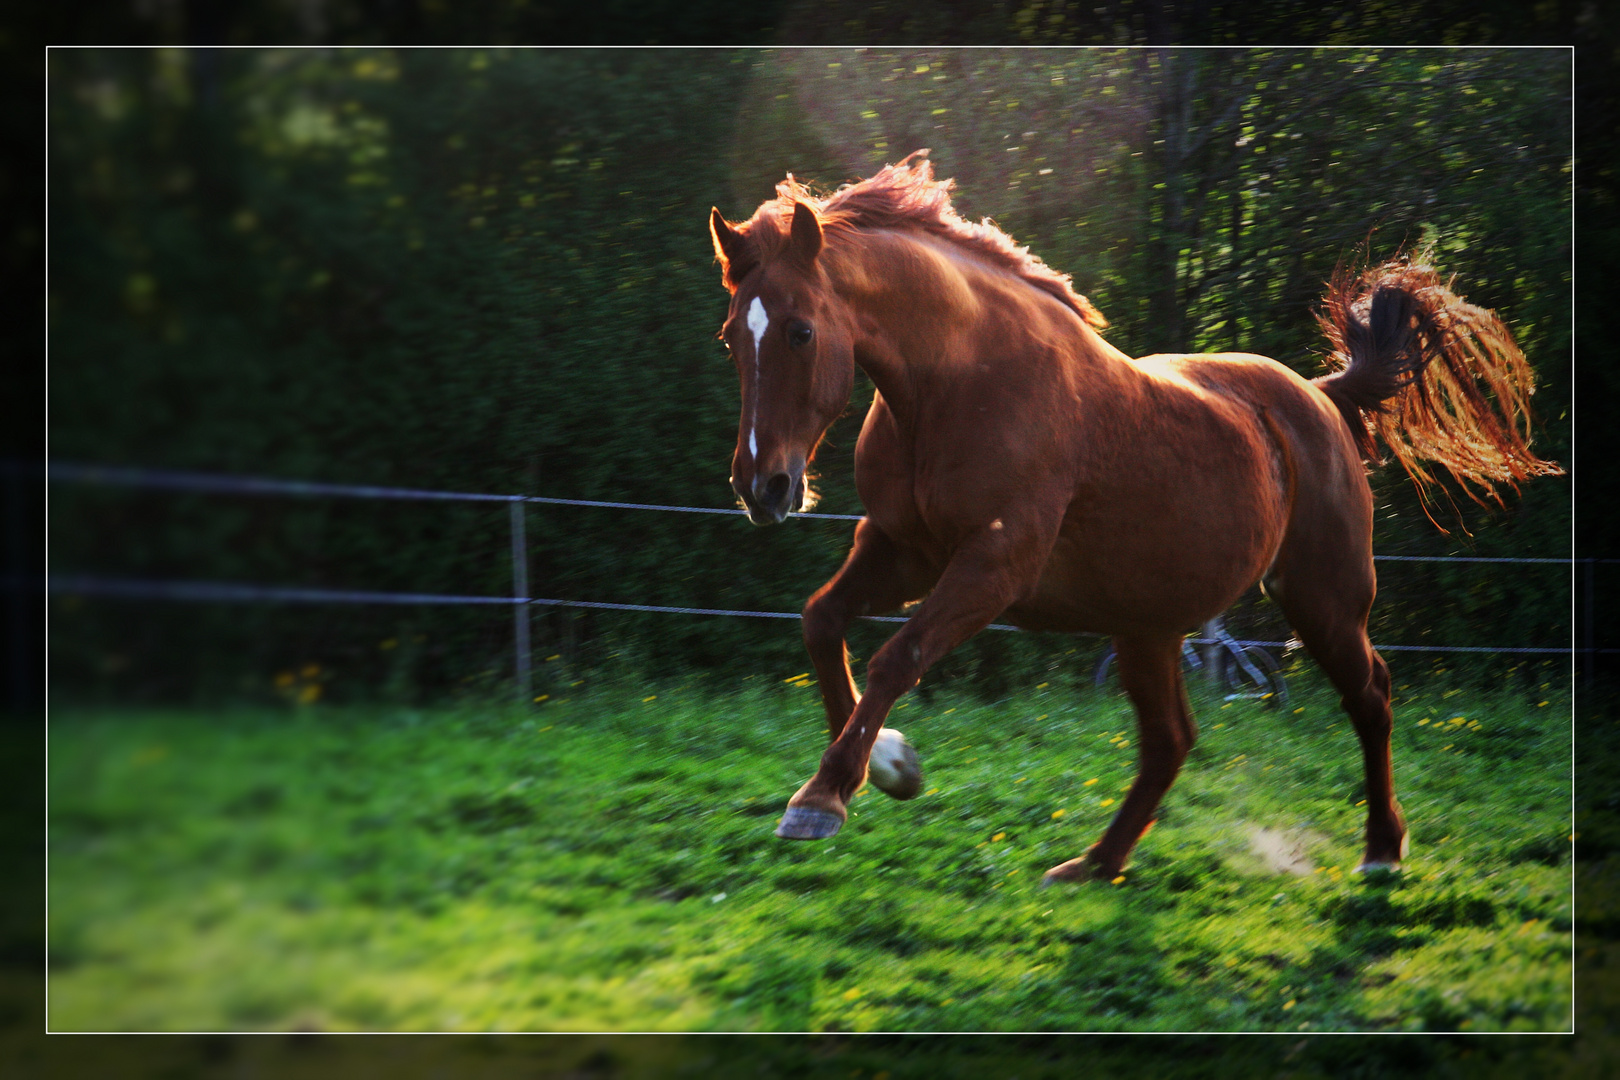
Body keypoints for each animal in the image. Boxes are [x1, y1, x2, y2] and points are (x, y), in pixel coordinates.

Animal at [706, 152, 1555, 880]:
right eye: (731, 338)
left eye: (800, 331)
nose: (763, 486)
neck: (957, 385)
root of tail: (1321, 396)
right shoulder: (899, 549)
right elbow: (822, 622)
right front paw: (887, 764)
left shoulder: (995, 563)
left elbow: (895, 657)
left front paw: (824, 798)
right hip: (1149, 623)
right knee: (1172, 739)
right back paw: (1094, 863)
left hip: (1322, 596)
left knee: (1370, 696)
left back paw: (1381, 850)